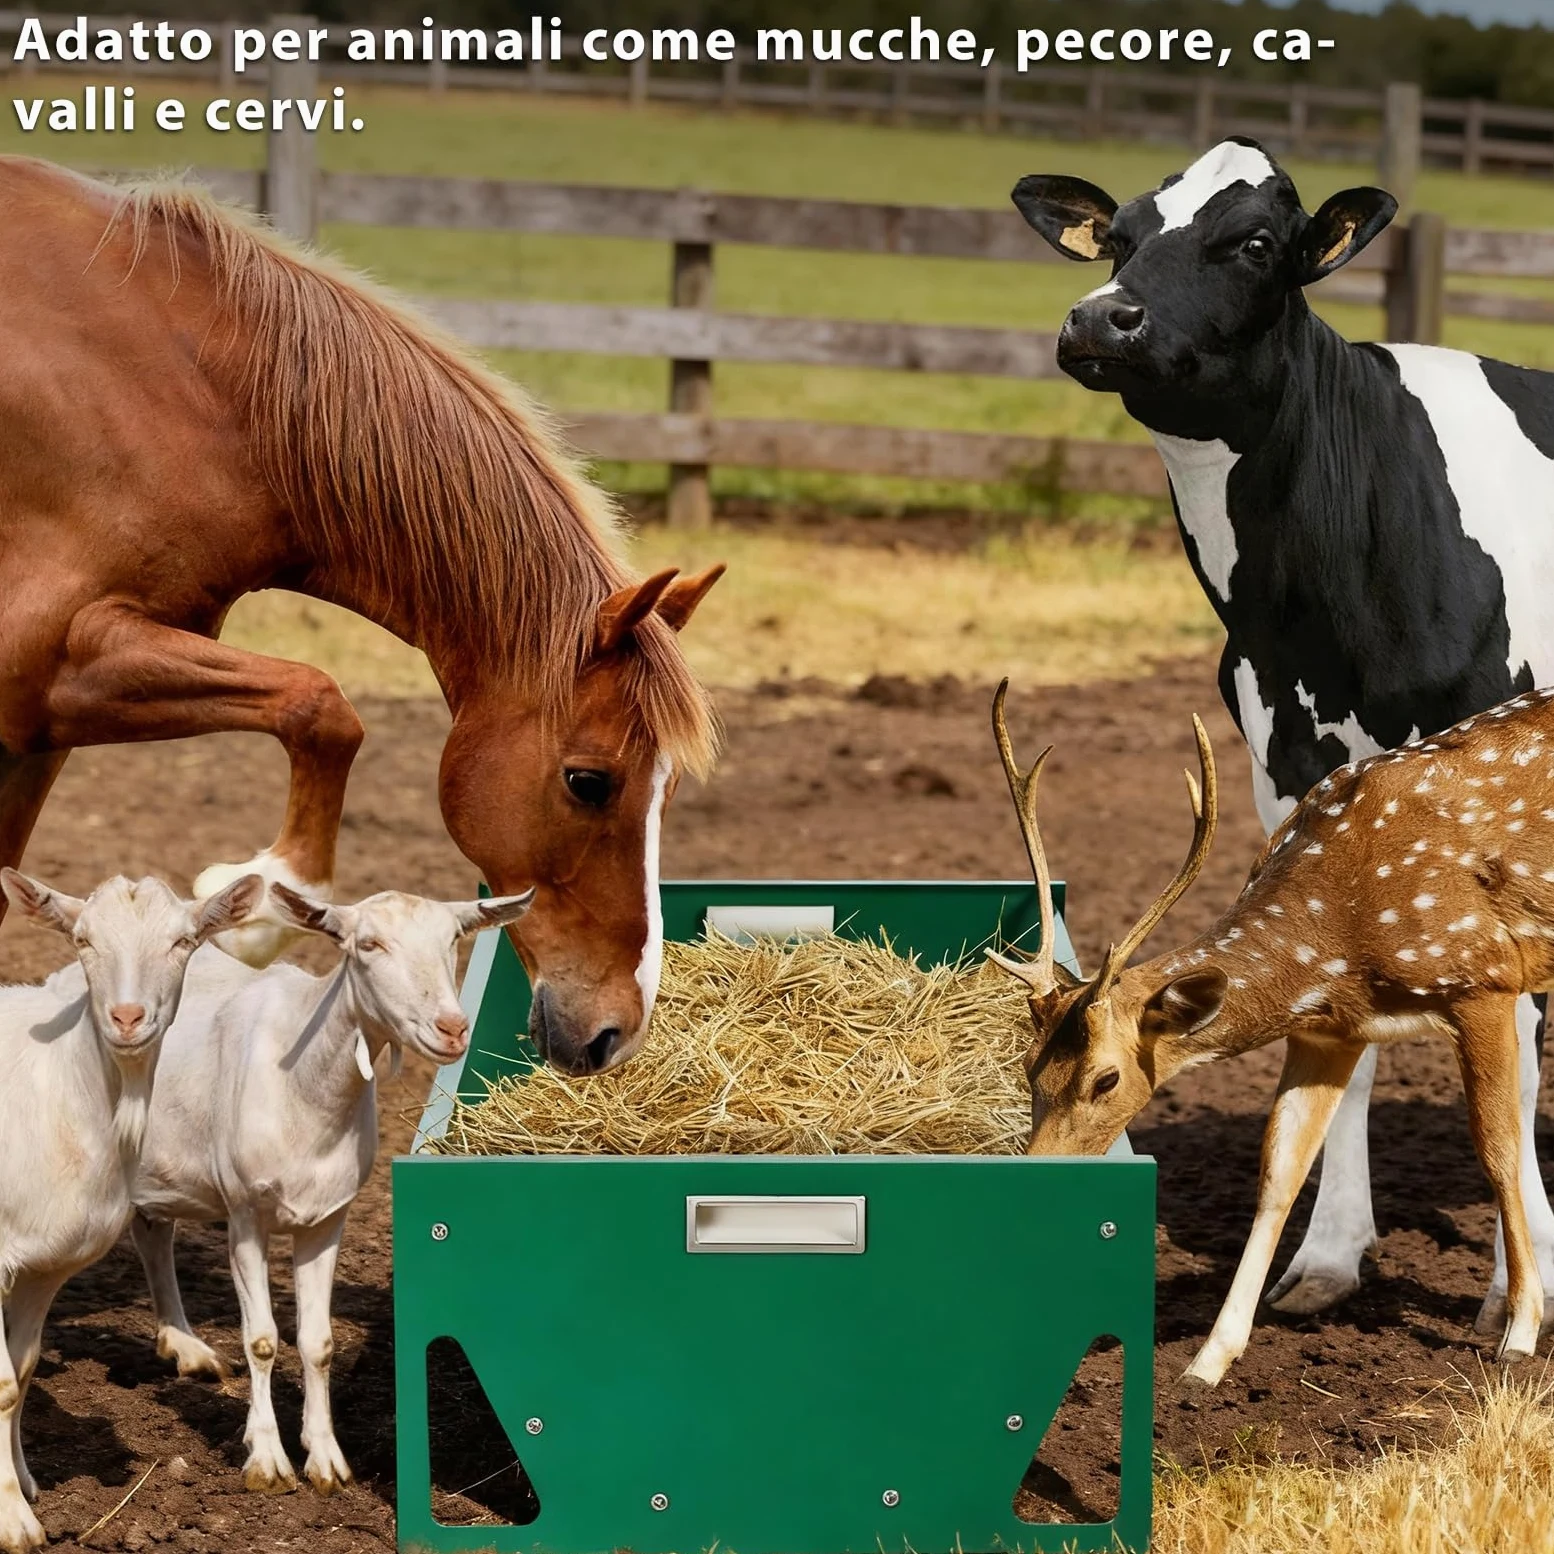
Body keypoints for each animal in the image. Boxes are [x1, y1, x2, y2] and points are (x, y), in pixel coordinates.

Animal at [0, 155, 721, 1076]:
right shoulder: (56, 663)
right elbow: (324, 705)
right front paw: (266, 908)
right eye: (589, 782)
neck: (185, 389)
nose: (616, 1034)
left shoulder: (38, 725)